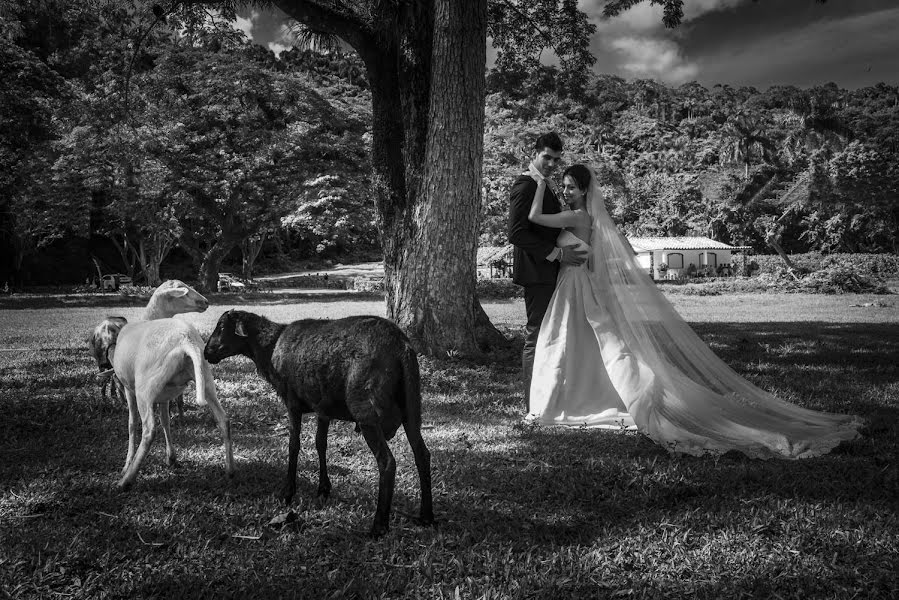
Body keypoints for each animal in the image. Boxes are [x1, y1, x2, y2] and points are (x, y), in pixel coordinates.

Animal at [208, 308, 440, 536]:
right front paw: (323, 489)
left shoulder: (292, 403)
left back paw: (378, 526)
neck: (269, 347)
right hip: (412, 407)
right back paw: (426, 516)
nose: (206, 353)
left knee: (387, 462)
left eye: (222, 327)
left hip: (367, 412)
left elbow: (294, 445)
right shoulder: (323, 408)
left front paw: (288, 492)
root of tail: (402, 346)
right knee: (422, 455)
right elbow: (321, 444)